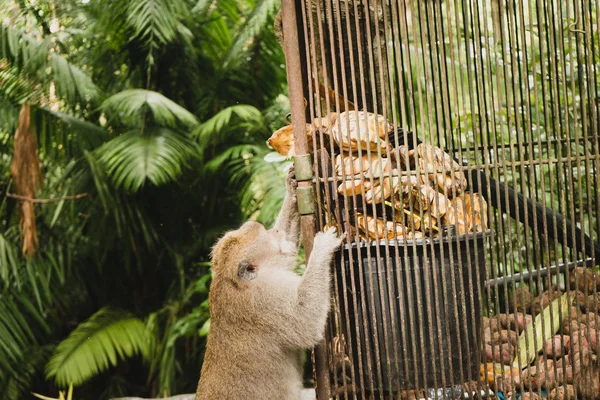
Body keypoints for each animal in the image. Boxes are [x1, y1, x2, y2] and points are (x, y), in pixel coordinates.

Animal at [192, 166, 342, 400]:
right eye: (271, 237)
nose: (277, 232)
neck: (229, 279)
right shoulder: (268, 297)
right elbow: (305, 321)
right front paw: (322, 247)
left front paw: (292, 186)